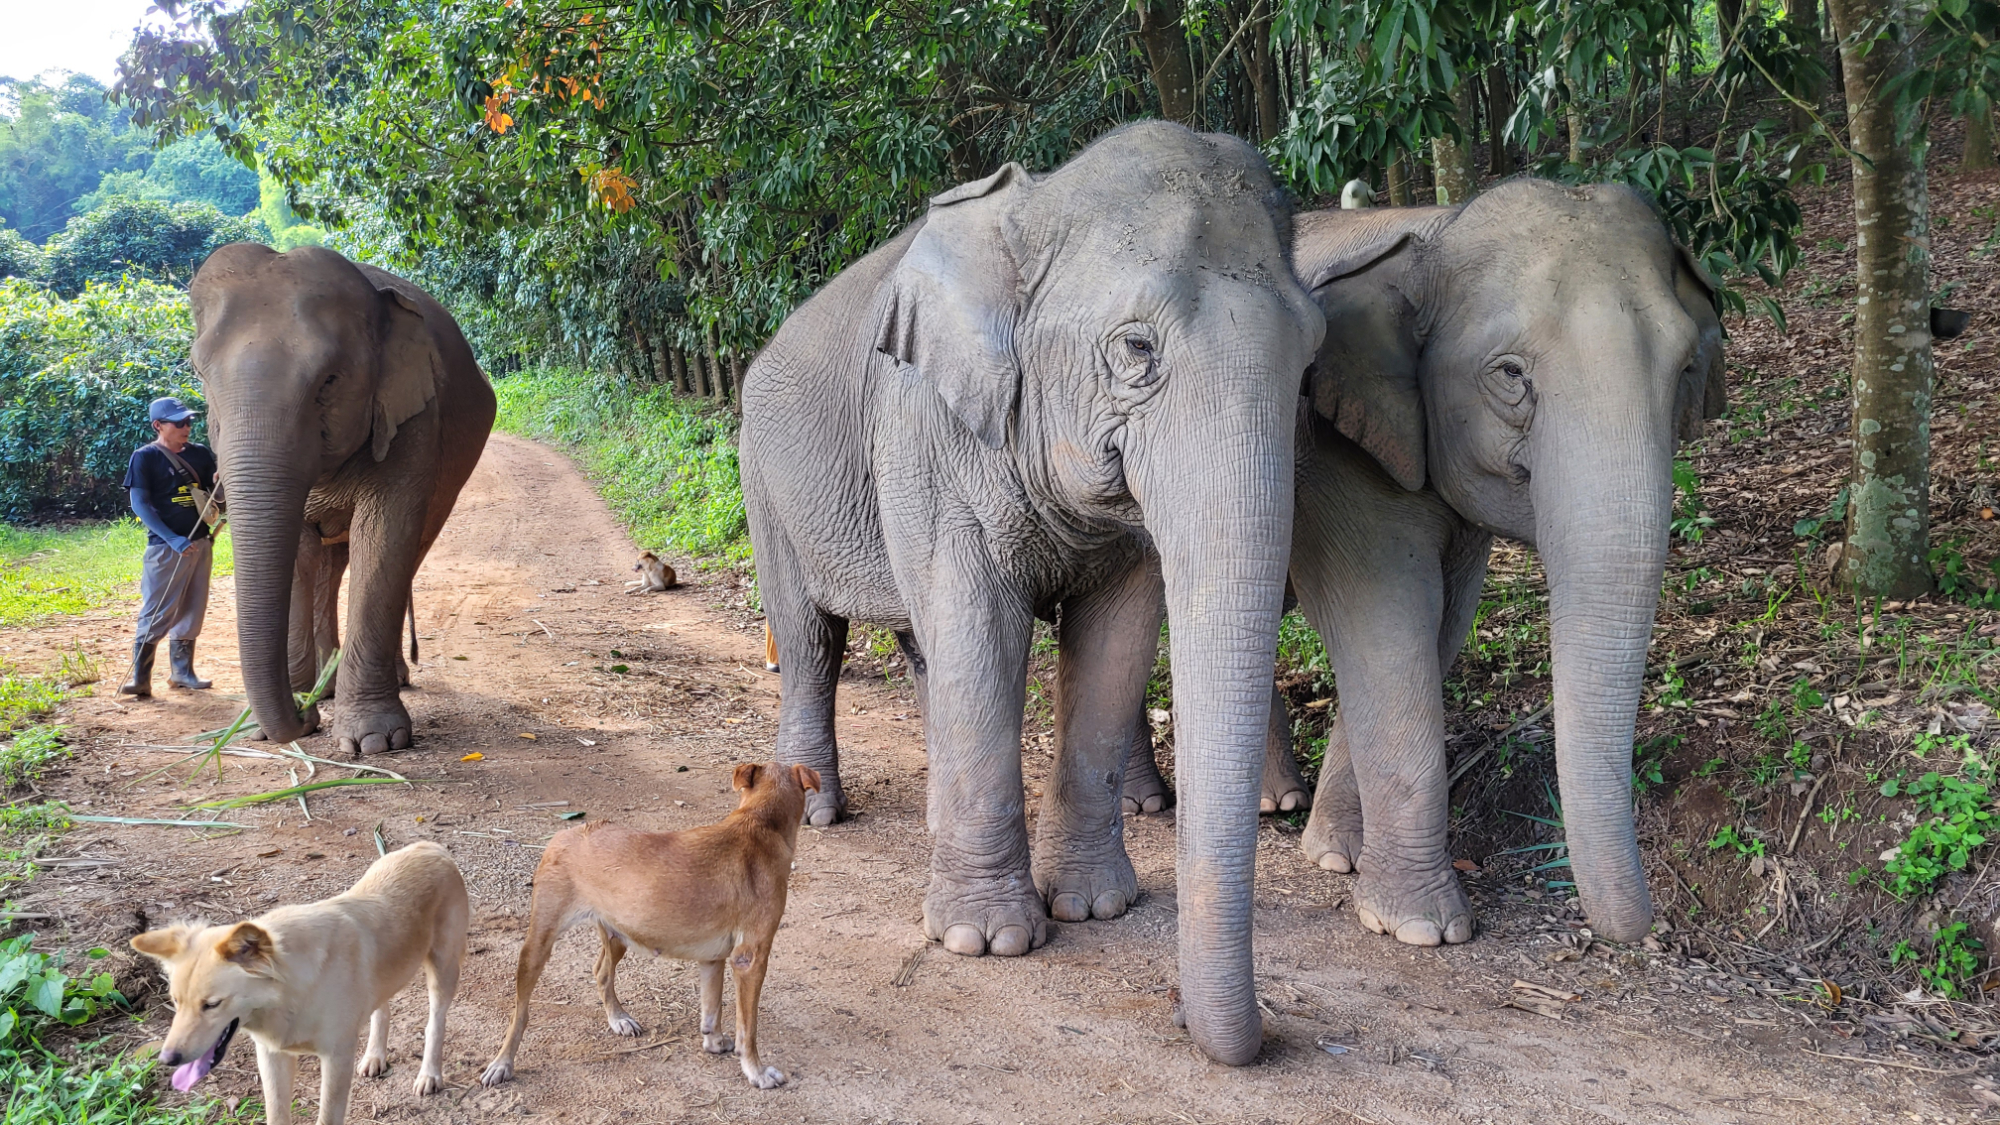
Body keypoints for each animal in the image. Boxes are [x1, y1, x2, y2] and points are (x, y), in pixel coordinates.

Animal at [189, 245, 498, 752]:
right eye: (199, 374)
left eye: (330, 381)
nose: (300, 717)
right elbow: (297, 552)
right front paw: (277, 721)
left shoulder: (415, 415)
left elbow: (383, 539)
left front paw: (376, 741)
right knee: (328, 566)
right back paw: (326, 684)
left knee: (405, 551)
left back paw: (383, 679)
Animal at [480, 756, 816, 1080]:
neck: (762, 822)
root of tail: (565, 833)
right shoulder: (749, 960)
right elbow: (748, 1030)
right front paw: (756, 1072)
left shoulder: (712, 959)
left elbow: (712, 1011)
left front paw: (715, 1042)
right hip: (539, 943)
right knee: (520, 1012)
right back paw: (502, 1063)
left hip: (617, 934)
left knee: (602, 972)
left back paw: (619, 1019)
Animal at [744, 122, 1320, 1056]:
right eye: (1136, 349)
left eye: (1312, 361)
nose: (1184, 1011)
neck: (1039, 207)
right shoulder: (924, 429)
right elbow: (981, 630)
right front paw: (987, 940)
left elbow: (1115, 639)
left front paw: (1096, 906)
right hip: (764, 478)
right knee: (809, 639)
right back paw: (819, 812)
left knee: (921, 648)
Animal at [1120, 177, 1728, 944]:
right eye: (1509, 373)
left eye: (1685, 370)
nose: (1640, 930)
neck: (1439, 229)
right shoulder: (1342, 451)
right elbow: (1386, 623)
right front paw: (1422, 925)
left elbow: (1440, 625)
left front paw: (1337, 855)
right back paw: (1144, 803)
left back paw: (1276, 802)